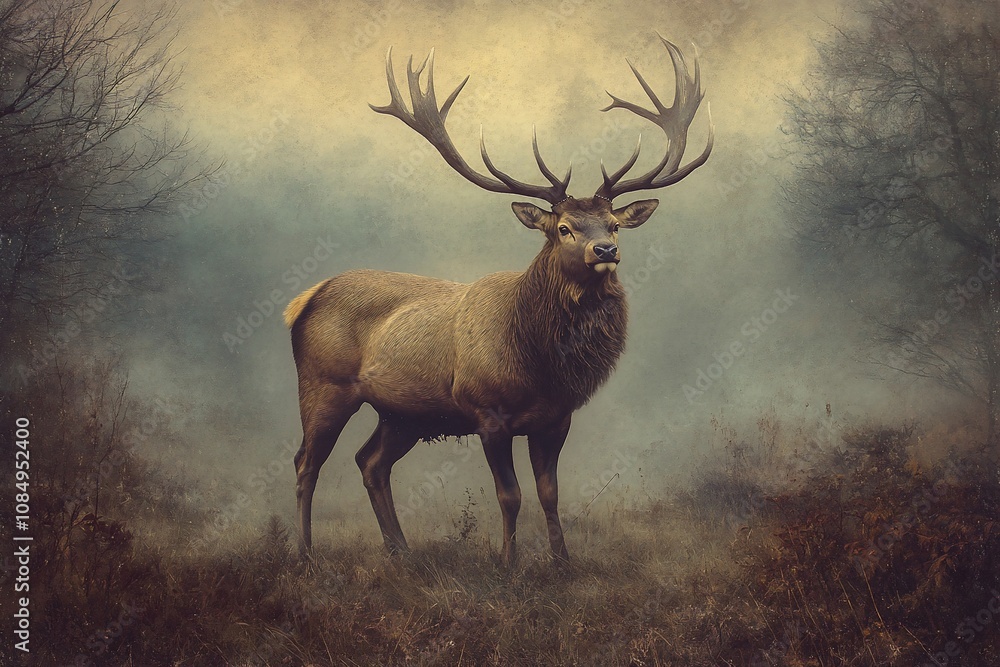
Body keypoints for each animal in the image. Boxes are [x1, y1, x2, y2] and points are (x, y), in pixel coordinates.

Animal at [285, 34, 713, 567]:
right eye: (563, 228)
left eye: (614, 224)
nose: (606, 251)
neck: (538, 362)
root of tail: (304, 300)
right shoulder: (488, 413)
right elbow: (510, 495)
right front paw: (508, 562)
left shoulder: (556, 418)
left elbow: (549, 493)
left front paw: (561, 562)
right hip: (324, 383)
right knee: (306, 461)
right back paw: (304, 554)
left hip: (404, 412)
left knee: (371, 463)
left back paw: (402, 551)